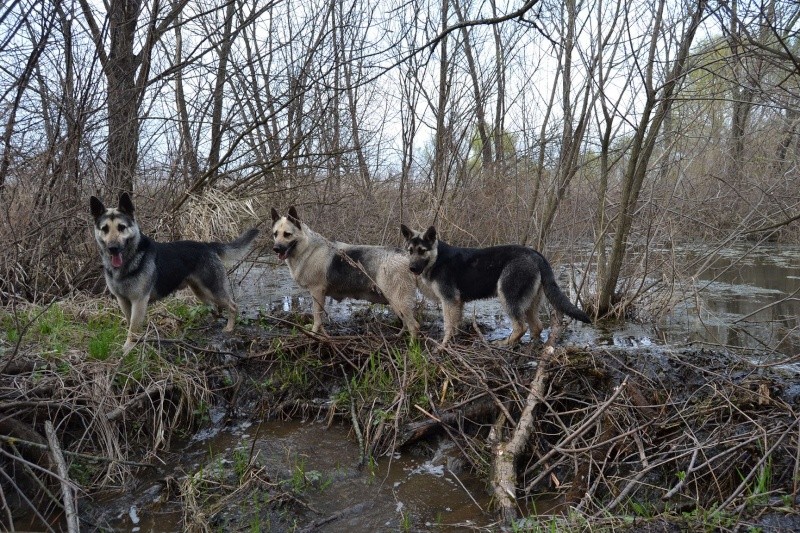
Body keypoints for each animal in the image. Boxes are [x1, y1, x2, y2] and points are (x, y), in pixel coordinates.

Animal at [90, 193, 260, 352]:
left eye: (121, 227)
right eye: (105, 229)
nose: (113, 248)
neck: (130, 261)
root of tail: (207, 245)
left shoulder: (139, 301)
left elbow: (133, 329)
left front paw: (128, 349)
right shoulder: (123, 301)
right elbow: (129, 324)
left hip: (213, 289)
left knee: (232, 306)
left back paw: (229, 328)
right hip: (200, 291)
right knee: (214, 308)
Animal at [270, 207, 418, 336]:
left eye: (287, 234)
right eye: (275, 234)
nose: (276, 249)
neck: (307, 248)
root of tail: (405, 256)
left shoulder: (317, 292)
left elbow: (317, 319)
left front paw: (313, 335)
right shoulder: (319, 296)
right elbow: (320, 321)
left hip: (397, 300)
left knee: (413, 326)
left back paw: (411, 346)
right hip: (396, 302)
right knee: (406, 323)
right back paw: (398, 336)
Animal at [398, 224, 588, 344]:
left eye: (422, 251)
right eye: (410, 251)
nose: (411, 268)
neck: (437, 258)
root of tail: (536, 255)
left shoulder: (449, 300)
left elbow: (448, 326)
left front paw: (443, 346)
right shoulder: (457, 303)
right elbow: (456, 324)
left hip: (508, 295)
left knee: (521, 327)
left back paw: (504, 344)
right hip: (530, 303)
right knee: (537, 327)